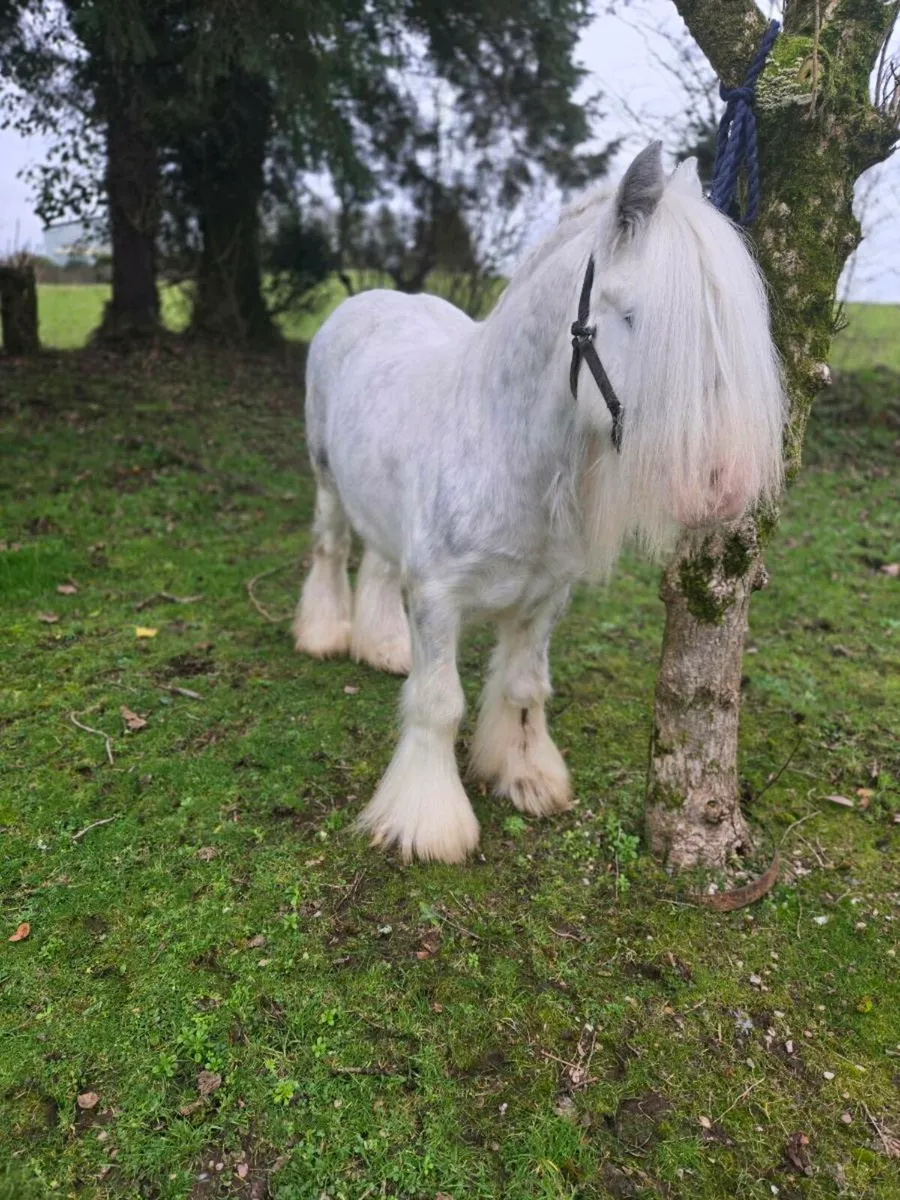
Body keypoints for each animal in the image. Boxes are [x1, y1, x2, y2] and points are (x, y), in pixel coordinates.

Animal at [293, 142, 786, 864]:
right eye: (637, 318)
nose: (725, 483)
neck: (508, 447)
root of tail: (367, 300)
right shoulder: (437, 598)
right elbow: (439, 703)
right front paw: (429, 824)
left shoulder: (544, 597)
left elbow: (525, 688)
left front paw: (525, 778)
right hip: (326, 477)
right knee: (331, 547)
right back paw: (325, 635)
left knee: (380, 564)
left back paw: (383, 646)